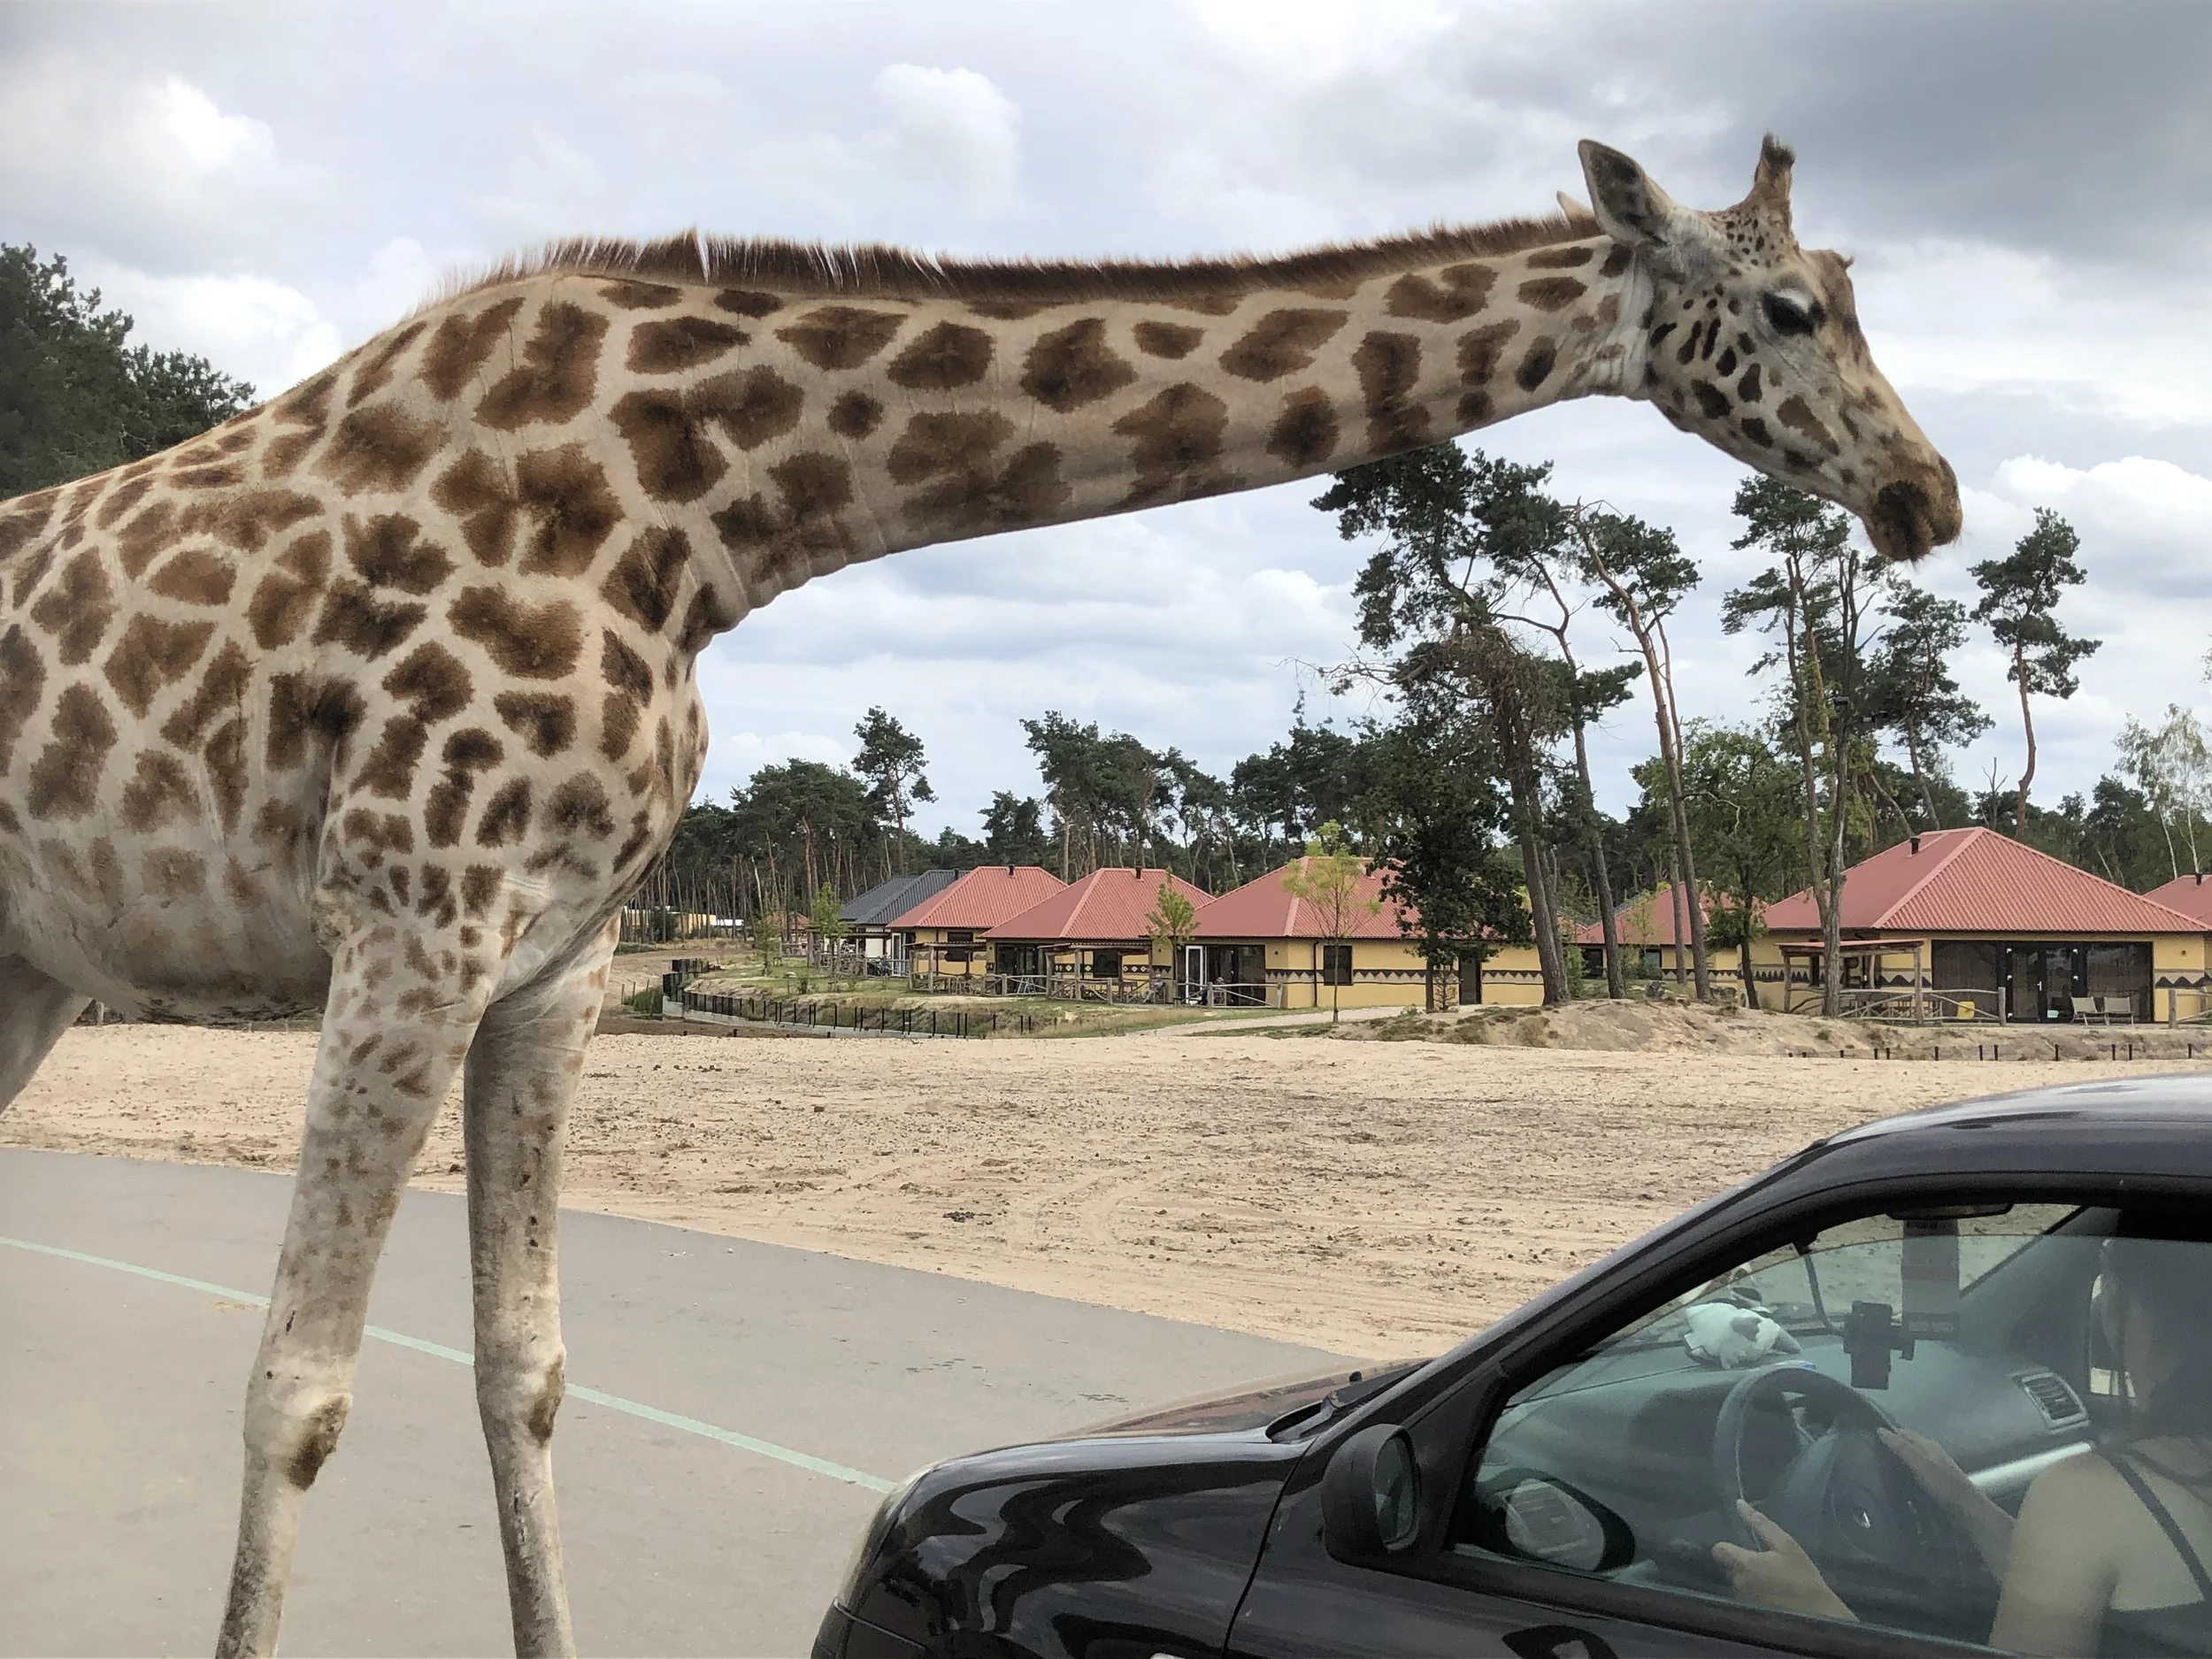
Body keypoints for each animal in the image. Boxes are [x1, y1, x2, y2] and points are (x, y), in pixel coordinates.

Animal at [0, 136, 1958, 1656]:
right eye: (1795, 311)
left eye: (1860, 294)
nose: (1924, 491)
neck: (699, 514)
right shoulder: (407, 913)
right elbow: (300, 1392)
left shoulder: (552, 957)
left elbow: (523, 1369)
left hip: (31, 966)